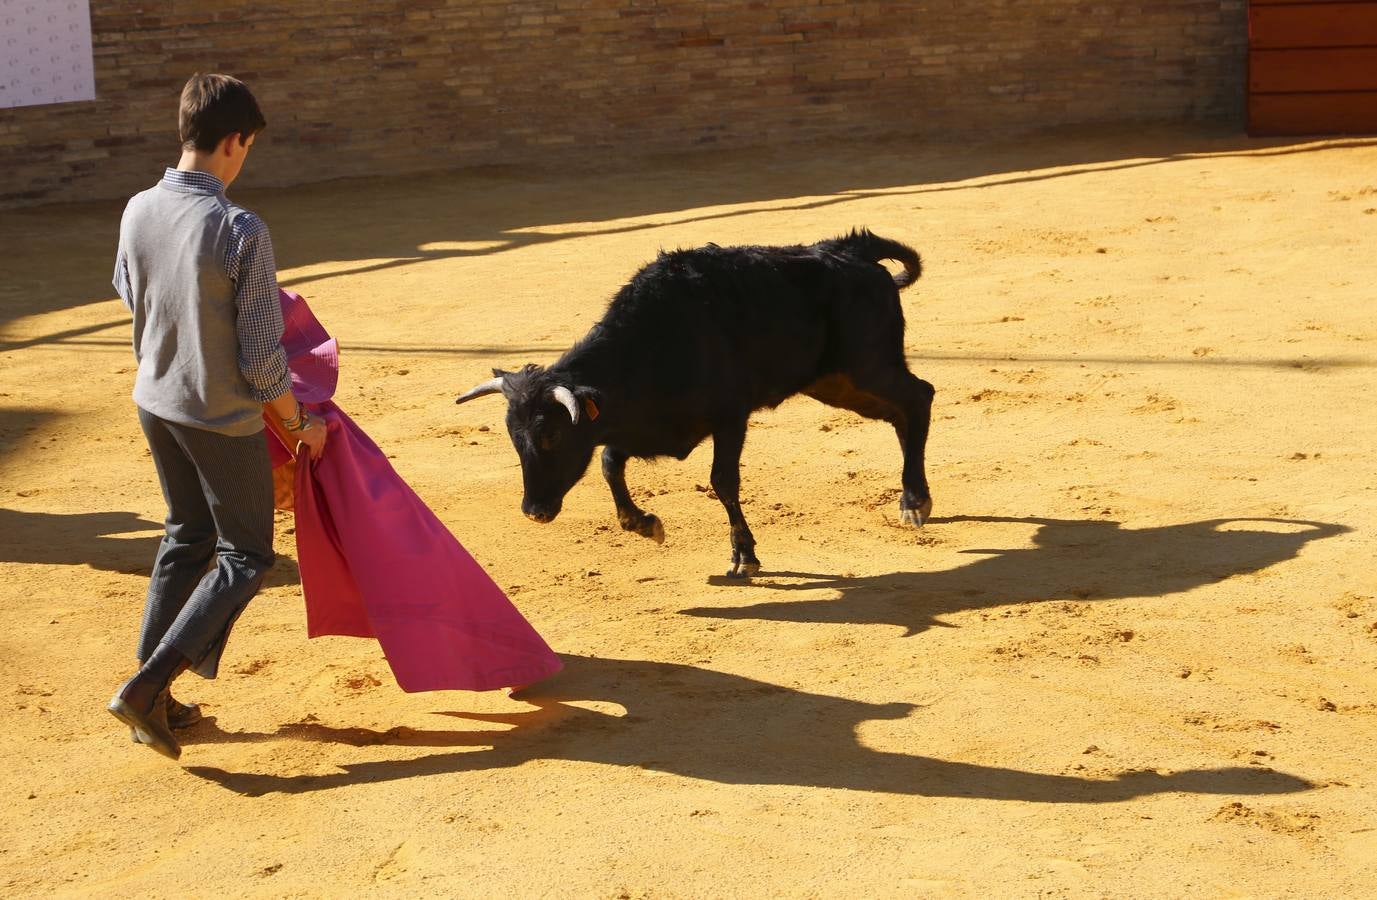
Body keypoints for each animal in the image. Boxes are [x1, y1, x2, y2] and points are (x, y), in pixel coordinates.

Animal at [459, 227, 936, 577]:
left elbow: (722, 480)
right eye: (513, 437)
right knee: (901, 412)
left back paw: (915, 500)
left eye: (552, 435)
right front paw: (645, 525)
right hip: (837, 384)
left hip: (866, 367)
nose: (534, 512)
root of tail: (852, 252)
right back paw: (911, 497)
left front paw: (744, 556)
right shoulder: (640, 426)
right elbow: (609, 462)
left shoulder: (730, 418)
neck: (652, 344)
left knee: (920, 397)